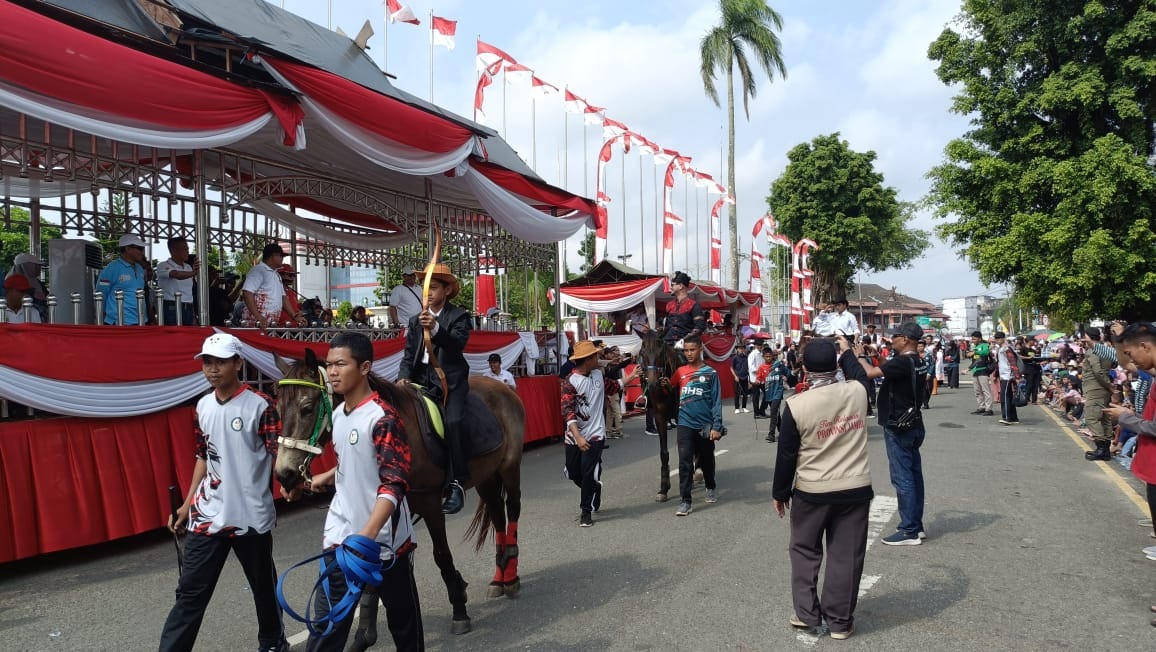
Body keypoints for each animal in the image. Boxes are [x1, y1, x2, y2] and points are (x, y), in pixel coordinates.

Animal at [272, 349, 527, 642]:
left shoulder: (430, 503)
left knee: (513, 507)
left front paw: (459, 609)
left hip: (509, 466)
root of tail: (502, 387)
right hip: (485, 475)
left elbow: (442, 556)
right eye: (277, 411)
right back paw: (500, 577)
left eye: (306, 408)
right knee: (497, 514)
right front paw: (365, 630)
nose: (284, 475)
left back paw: (511, 571)